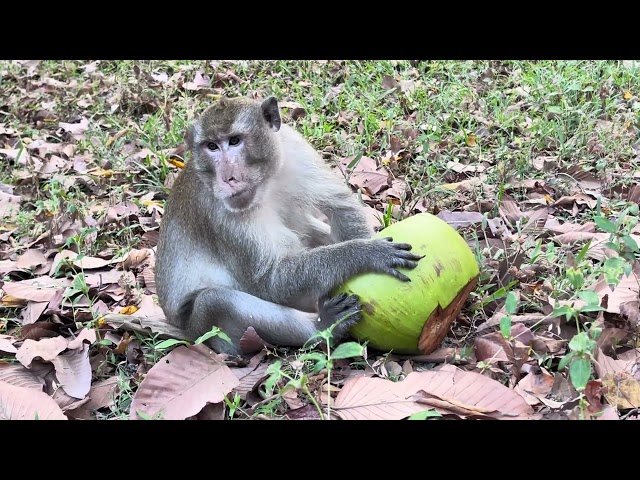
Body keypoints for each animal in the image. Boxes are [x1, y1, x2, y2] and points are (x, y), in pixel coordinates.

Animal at [154, 94, 424, 356]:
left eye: (234, 141)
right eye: (211, 146)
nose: (227, 178)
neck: (265, 182)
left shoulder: (294, 146)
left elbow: (339, 205)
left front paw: (365, 243)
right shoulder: (219, 215)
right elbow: (271, 283)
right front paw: (367, 253)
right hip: (210, 335)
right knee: (214, 301)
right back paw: (322, 327)